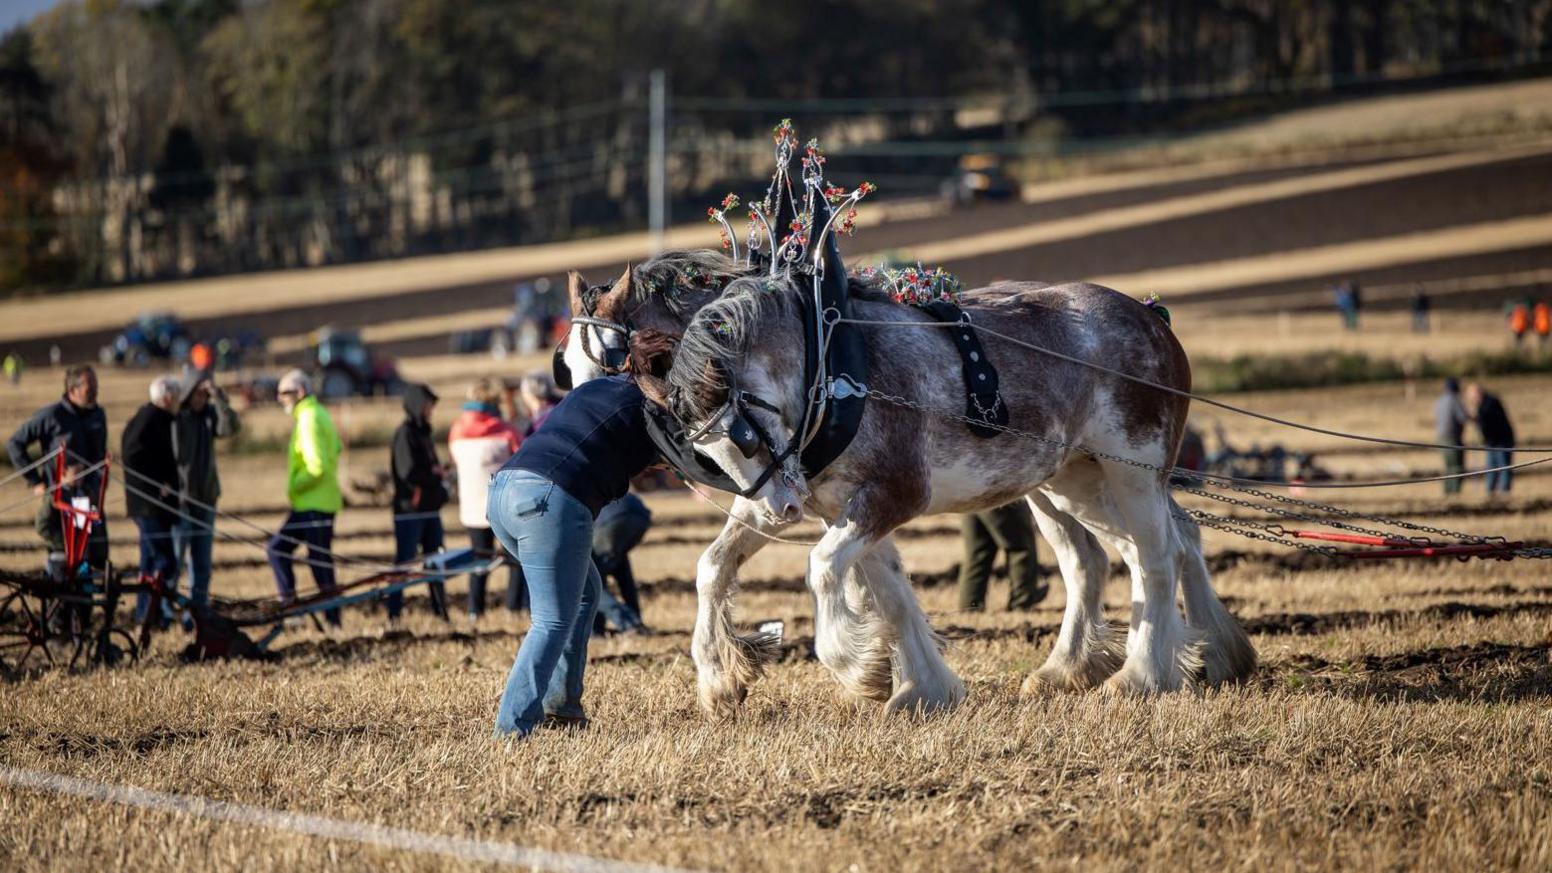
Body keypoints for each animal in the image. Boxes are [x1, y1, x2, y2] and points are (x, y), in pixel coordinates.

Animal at [636, 274, 1254, 702]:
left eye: (743, 432)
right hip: (1072, 482)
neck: (832, 372)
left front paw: (861, 670)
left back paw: (1143, 676)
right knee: (1114, 556)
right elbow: (874, 589)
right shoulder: (839, 508)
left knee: (1156, 556)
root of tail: (1152, 317)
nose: (780, 511)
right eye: (701, 451)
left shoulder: (895, 494)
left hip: (1134, 470)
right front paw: (918, 689)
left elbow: (823, 568)